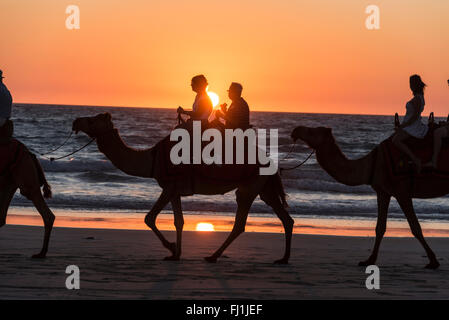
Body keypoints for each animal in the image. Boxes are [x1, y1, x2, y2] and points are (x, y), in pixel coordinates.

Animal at [71, 114, 292, 264]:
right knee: (284, 218)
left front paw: (171, 247)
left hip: (249, 186)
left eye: (92, 120)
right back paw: (283, 258)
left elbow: (149, 218)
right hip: (264, 188)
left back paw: (213, 256)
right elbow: (179, 221)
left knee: (240, 222)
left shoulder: (169, 186)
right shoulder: (174, 190)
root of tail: (270, 161)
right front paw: (175, 253)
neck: (152, 159)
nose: (75, 121)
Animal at [290, 125, 440, 268]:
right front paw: (369, 260)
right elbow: (380, 227)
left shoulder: (401, 191)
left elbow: (415, 227)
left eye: (312, 131)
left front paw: (433, 261)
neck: (372, 164)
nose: (295, 130)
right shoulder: (383, 192)